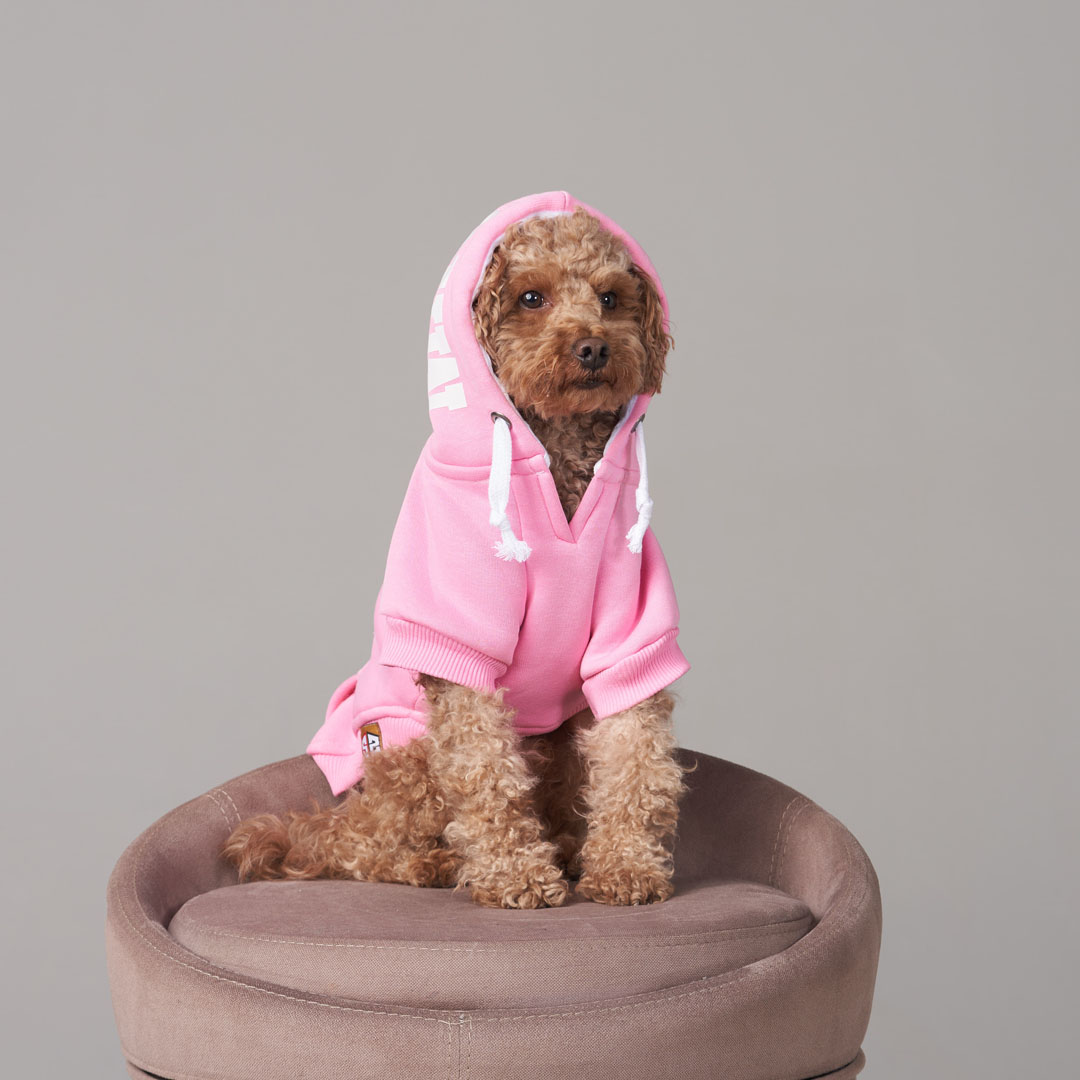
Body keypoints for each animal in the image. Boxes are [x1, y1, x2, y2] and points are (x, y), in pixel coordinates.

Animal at [223, 201, 687, 909]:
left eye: (610, 298)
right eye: (531, 297)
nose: (593, 347)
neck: (557, 460)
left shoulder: (631, 639)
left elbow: (636, 752)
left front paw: (625, 865)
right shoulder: (460, 647)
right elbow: (486, 772)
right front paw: (515, 874)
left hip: (555, 736)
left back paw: (566, 848)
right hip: (404, 754)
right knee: (360, 846)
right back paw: (433, 863)